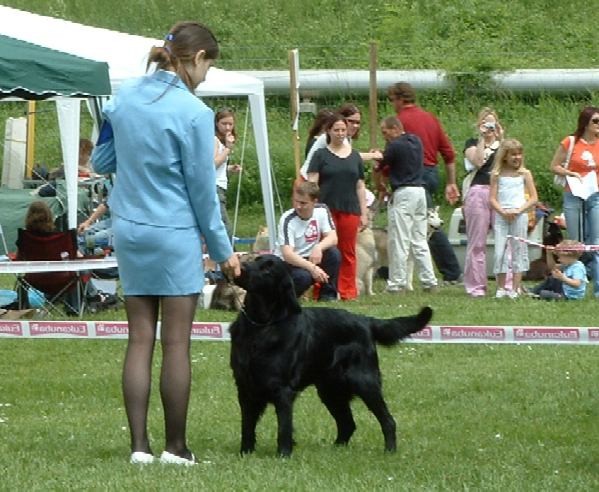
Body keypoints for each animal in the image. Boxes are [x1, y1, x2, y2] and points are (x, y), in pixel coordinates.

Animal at [229, 256, 432, 456]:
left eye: (268, 269)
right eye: (255, 260)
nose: (241, 267)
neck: (261, 326)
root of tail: (366, 320)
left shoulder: (282, 389)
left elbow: (284, 428)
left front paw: (283, 455)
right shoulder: (244, 387)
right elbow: (247, 427)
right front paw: (245, 453)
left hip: (364, 382)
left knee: (388, 421)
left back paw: (389, 451)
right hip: (330, 390)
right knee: (348, 424)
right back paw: (335, 450)